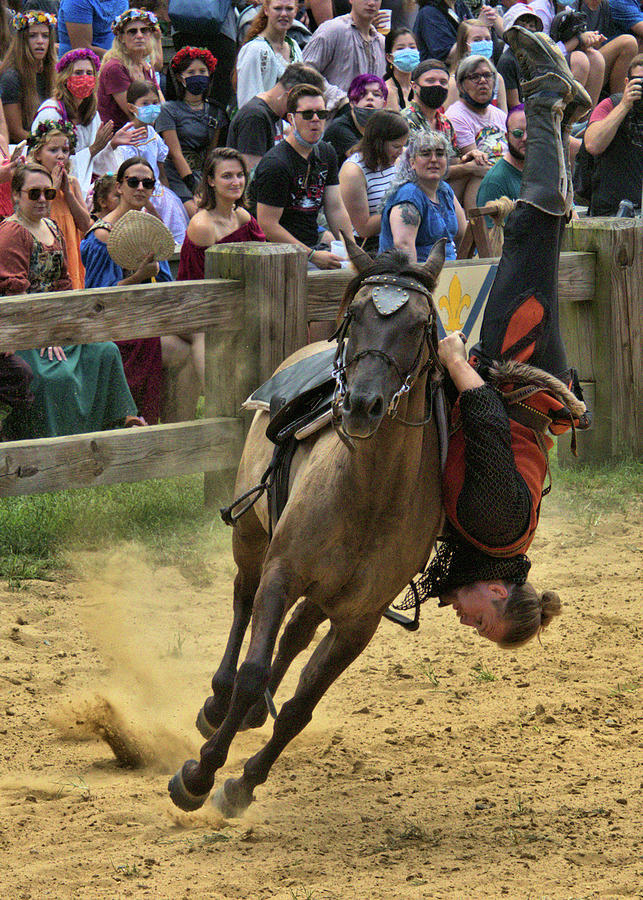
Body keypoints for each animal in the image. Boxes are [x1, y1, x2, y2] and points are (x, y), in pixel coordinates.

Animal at [167, 237, 448, 816]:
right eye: (357, 315)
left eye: (418, 326)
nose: (362, 404)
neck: (367, 495)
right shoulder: (283, 572)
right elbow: (253, 672)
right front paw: (199, 775)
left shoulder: (359, 620)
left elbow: (300, 707)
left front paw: (242, 784)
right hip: (251, 539)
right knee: (243, 604)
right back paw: (218, 702)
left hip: (326, 595)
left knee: (296, 633)